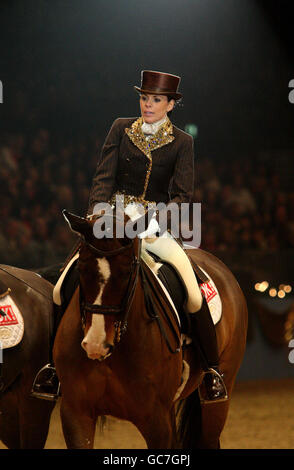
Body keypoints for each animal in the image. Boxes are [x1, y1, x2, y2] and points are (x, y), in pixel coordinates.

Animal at [54, 211, 247, 450]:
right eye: (81, 268)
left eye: (127, 271)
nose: (96, 344)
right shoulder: (76, 413)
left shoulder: (157, 420)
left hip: (219, 396)